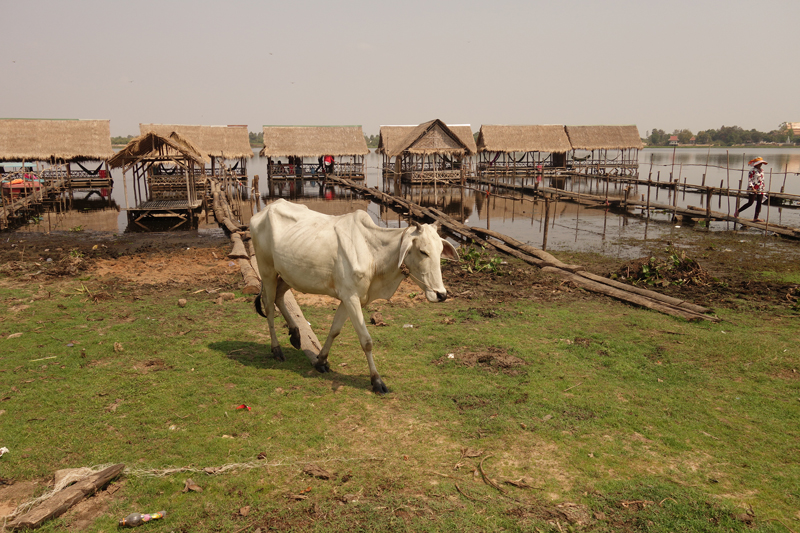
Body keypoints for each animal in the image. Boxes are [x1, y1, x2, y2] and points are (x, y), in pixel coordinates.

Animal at [253, 198, 460, 390]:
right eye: (423, 251)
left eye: (440, 251)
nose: (441, 294)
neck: (374, 254)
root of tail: (265, 210)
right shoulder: (351, 297)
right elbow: (366, 341)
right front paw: (376, 381)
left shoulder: (349, 299)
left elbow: (334, 330)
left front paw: (321, 360)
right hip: (267, 269)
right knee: (269, 306)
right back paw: (276, 349)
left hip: (289, 274)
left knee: (279, 297)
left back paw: (295, 334)